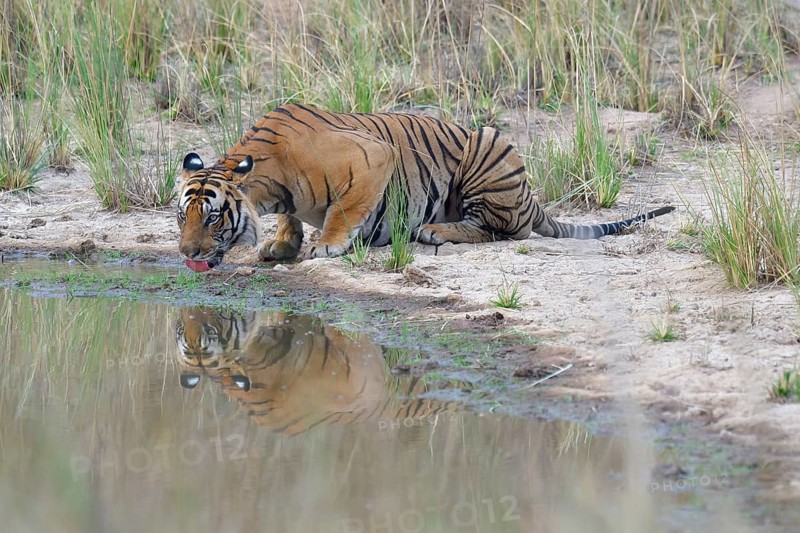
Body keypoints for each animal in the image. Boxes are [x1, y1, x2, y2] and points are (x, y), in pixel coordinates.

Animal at [177, 103, 674, 271]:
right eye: (183, 216)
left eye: (214, 217)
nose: (187, 253)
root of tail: (531, 198)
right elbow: (291, 215)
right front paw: (281, 245)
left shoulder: (372, 157)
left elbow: (344, 210)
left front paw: (326, 246)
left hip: (489, 144)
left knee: (502, 230)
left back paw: (435, 231)